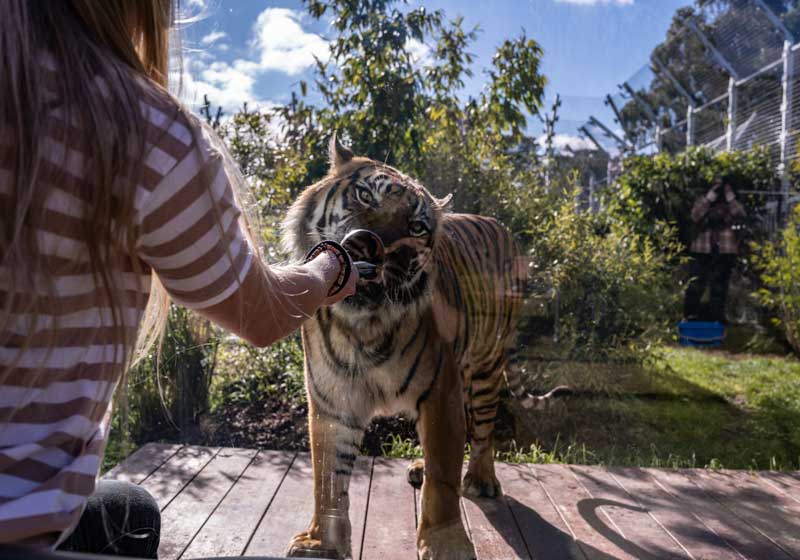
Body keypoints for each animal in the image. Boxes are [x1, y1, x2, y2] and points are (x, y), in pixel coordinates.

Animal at [284, 137, 560, 560]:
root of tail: (499, 225)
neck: (363, 324)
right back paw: (419, 466)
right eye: (365, 195)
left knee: (483, 431)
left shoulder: (440, 393)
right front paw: (320, 541)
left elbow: (443, 480)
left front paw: (446, 543)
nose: (369, 243)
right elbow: (327, 477)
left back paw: (481, 478)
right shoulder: (333, 400)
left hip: (486, 367)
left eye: (416, 226)